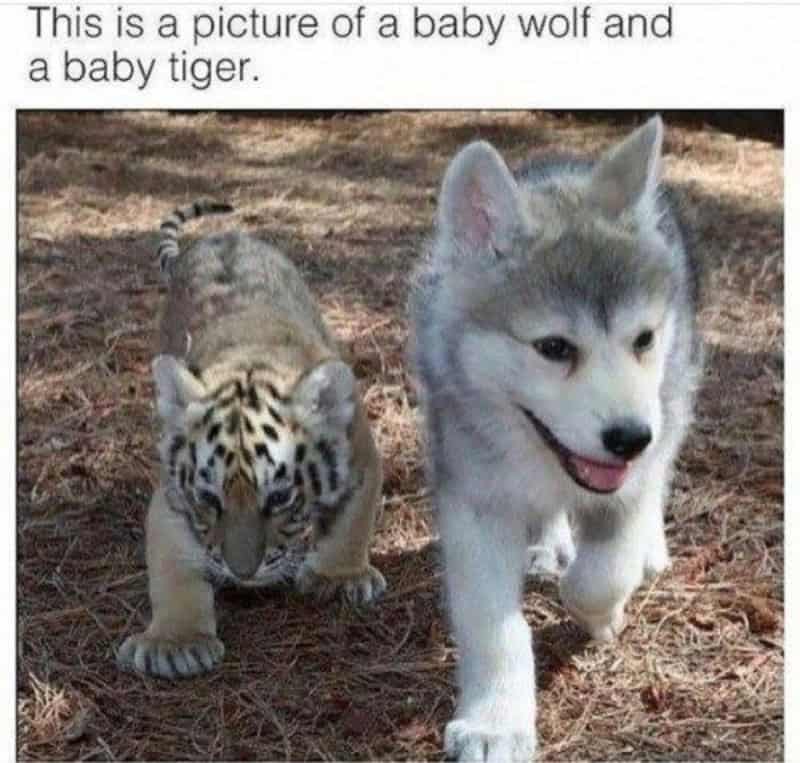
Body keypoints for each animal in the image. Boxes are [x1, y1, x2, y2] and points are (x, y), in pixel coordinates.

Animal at [116, 200, 386, 679]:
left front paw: (339, 578)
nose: (243, 573)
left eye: (279, 498)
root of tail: (217, 236)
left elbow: (352, 522)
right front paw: (175, 643)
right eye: (209, 499)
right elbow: (172, 565)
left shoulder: (361, 458)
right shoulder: (173, 497)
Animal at [409, 117, 702, 761]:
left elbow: (602, 572)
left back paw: (649, 549)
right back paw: (548, 545)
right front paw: (496, 723)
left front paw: (601, 613)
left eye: (643, 338)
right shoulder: (474, 497)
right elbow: (492, 625)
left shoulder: (631, 476)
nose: (629, 439)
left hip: (675, 394)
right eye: (553, 348)